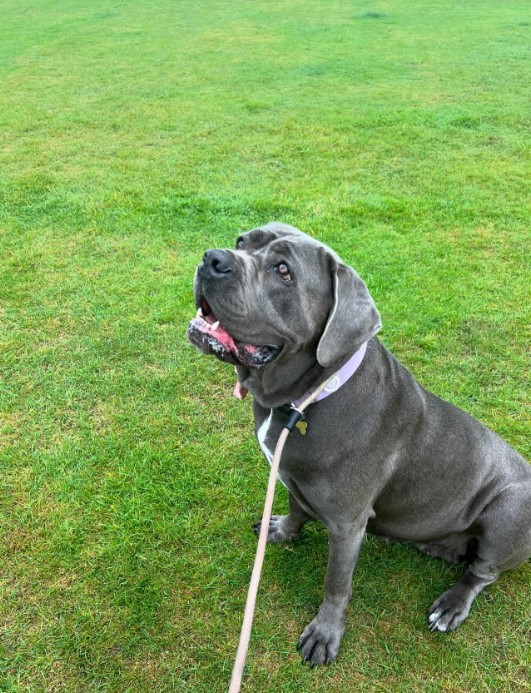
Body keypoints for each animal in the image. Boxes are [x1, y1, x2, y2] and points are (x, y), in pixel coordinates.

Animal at [187, 222, 531, 664]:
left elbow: (337, 584)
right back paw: (441, 549)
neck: (306, 398)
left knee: (483, 572)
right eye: (242, 241)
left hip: (510, 510)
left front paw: (324, 633)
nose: (212, 258)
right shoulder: (291, 475)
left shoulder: (348, 525)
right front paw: (281, 529)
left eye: (283, 271)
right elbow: (296, 507)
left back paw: (452, 604)